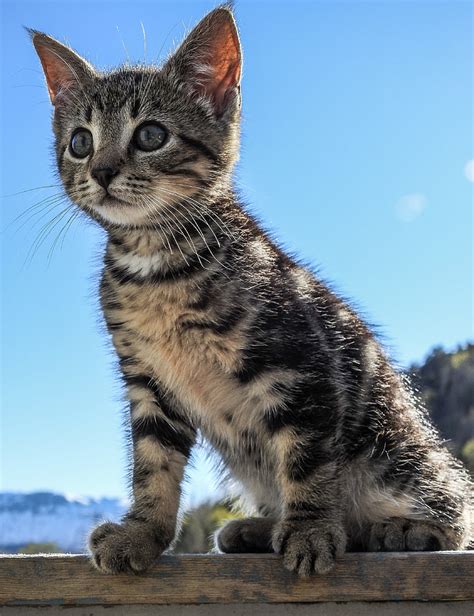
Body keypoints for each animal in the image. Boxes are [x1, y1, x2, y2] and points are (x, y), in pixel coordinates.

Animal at [31, 4, 472, 576]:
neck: (156, 263)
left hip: (394, 451)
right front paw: (143, 533)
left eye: (150, 135)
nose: (103, 171)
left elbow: (306, 458)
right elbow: (152, 464)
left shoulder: (301, 364)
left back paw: (397, 529)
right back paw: (259, 528)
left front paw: (309, 531)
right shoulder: (148, 382)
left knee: (452, 509)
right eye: (80, 142)